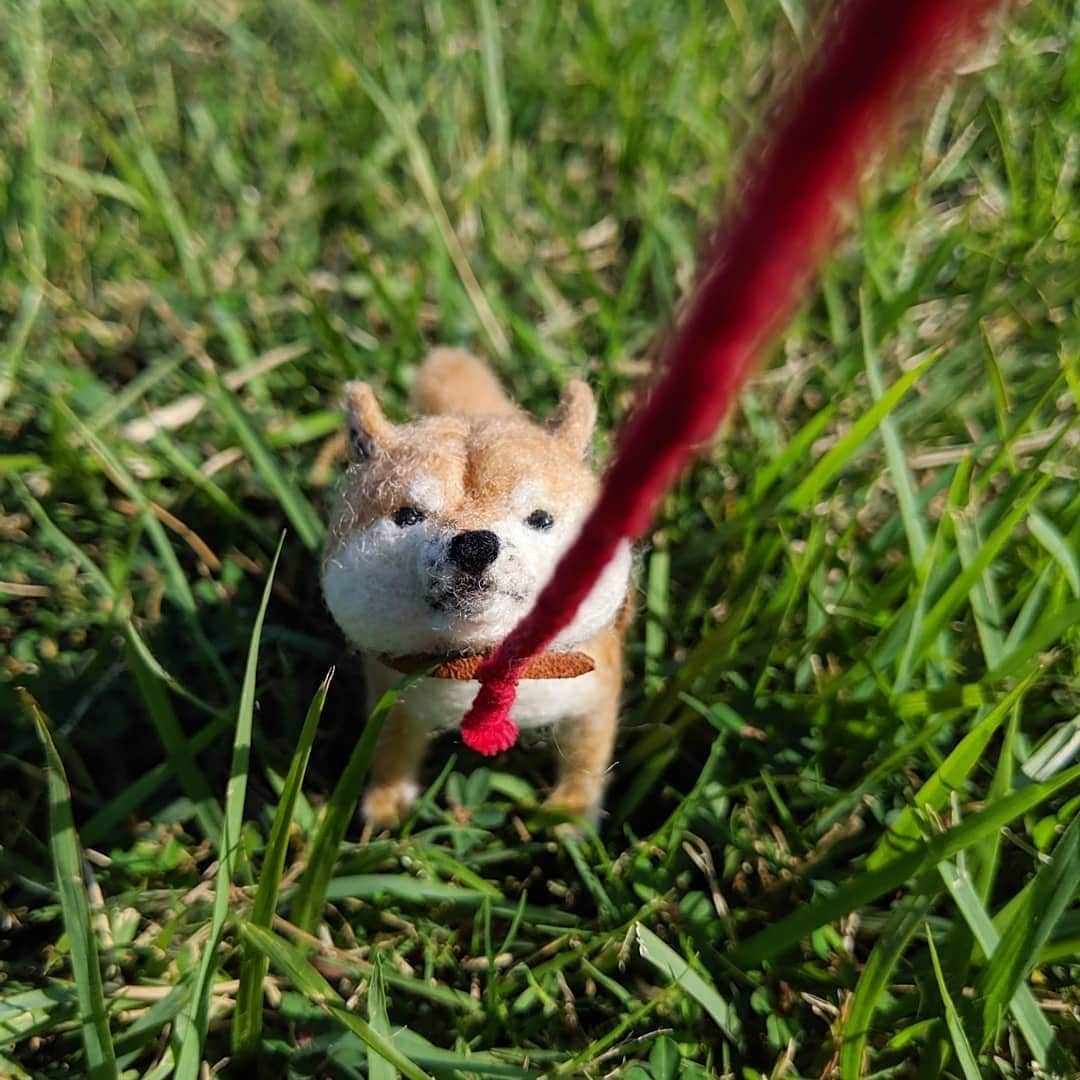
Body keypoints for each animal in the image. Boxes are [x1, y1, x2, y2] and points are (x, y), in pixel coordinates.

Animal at [319, 349, 630, 820]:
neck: (484, 661)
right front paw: (386, 806)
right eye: (408, 516)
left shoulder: (594, 693)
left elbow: (587, 756)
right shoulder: (393, 697)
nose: (475, 544)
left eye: (541, 519)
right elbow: (391, 748)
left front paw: (571, 812)